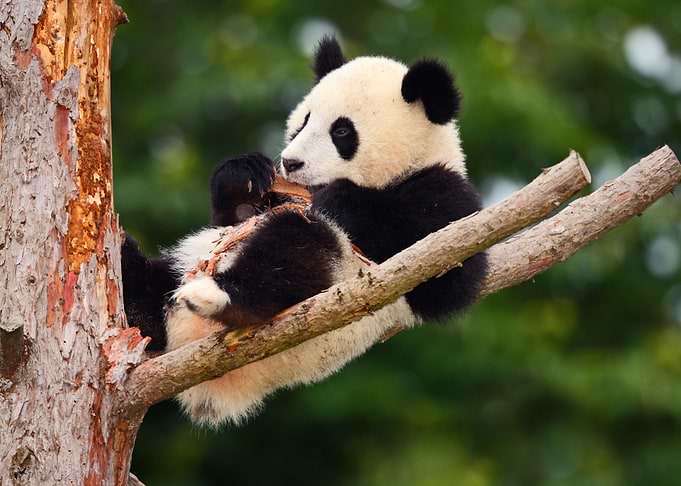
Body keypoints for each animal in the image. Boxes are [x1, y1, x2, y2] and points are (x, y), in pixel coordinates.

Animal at [122, 36, 488, 427]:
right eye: (303, 121)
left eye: (341, 131)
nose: (290, 162)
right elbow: (232, 217)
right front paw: (243, 176)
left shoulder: (444, 193)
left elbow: (449, 277)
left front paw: (342, 200)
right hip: (183, 264)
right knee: (153, 286)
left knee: (292, 250)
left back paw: (220, 296)